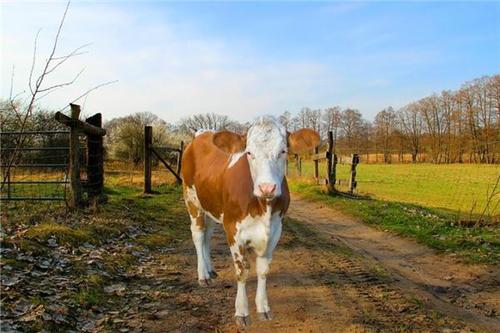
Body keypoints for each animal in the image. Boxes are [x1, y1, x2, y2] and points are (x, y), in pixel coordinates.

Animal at [182, 115, 318, 326]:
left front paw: (263, 308)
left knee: (207, 235)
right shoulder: (233, 230)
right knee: (197, 234)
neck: (264, 208)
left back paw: (210, 270)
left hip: (211, 206)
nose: (267, 187)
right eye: (249, 152)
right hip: (191, 199)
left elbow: (263, 271)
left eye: (283, 151)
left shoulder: (275, 231)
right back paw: (203, 275)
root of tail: (202, 134)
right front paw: (242, 312)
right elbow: (242, 271)